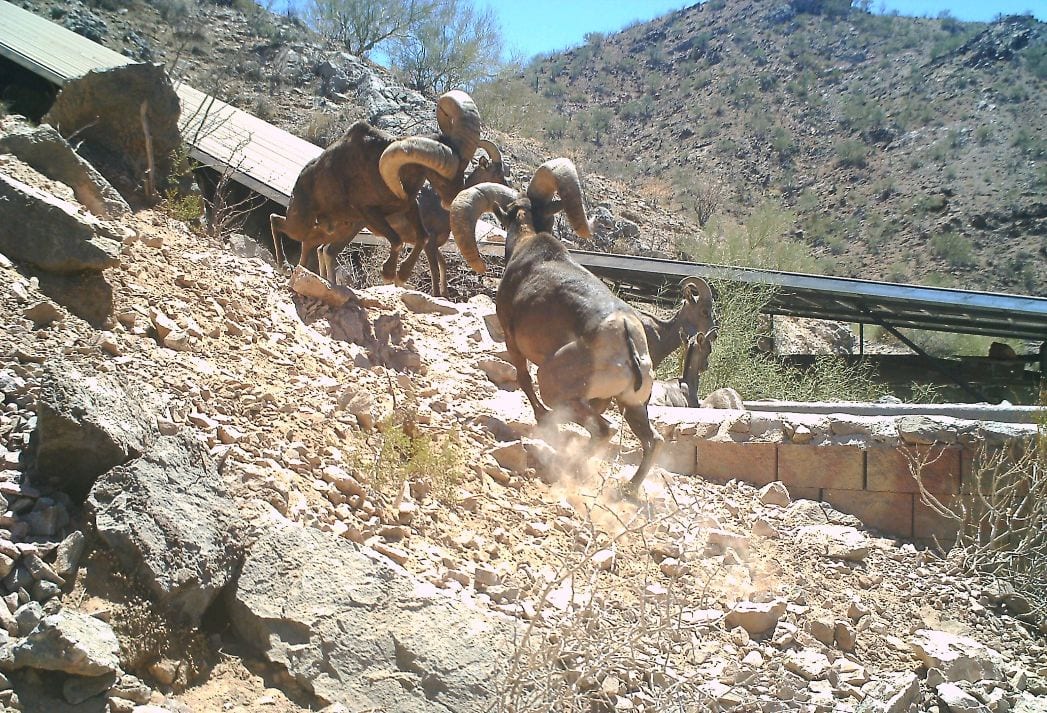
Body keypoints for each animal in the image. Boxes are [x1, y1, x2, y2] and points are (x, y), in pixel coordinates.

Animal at [269, 90, 487, 285]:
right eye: (440, 176)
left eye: (464, 167)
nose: (453, 200)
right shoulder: (370, 213)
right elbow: (397, 241)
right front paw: (389, 273)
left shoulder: (408, 207)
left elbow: (422, 237)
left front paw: (402, 274)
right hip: (301, 224)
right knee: (277, 221)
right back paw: (285, 266)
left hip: (339, 228)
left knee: (319, 247)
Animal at [317, 139, 508, 296]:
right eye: (497, 172)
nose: (506, 188)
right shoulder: (430, 242)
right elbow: (435, 270)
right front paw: (436, 295)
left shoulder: (434, 245)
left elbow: (443, 265)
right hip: (352, 228)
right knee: (330, 251)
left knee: (321, 249)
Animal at [450, 158, 663, 494]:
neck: (528, 245)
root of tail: (626, 337)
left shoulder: (512, 341)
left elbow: (523, 380)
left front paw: (542, 420)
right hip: (632, 405)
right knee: (652, 440)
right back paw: (627, 491)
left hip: (554, 384)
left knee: (604, 431)